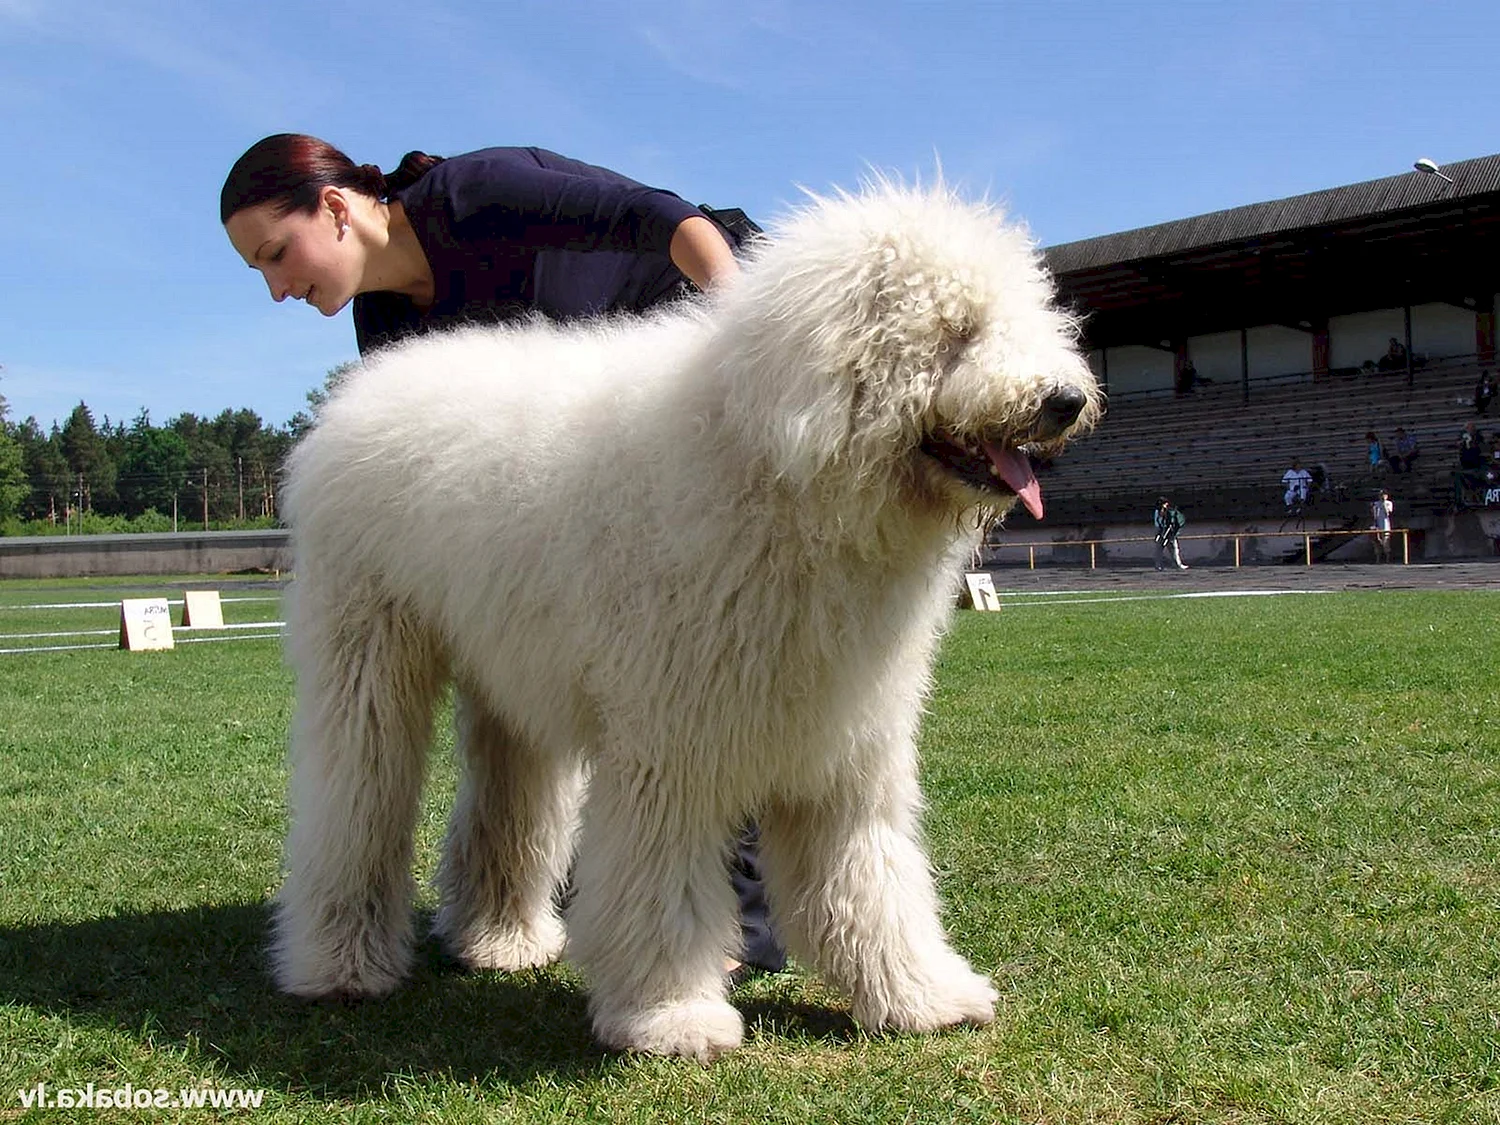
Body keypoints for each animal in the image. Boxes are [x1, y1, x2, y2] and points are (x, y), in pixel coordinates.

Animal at [273, 180, 1104, 1062]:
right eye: (956, 329)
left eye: (1024, 315)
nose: (1066, 400)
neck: (777, 475)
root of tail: (358, 392)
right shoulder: (669, 741)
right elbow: (660, 878)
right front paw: (673, 1015)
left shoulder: (845, 738)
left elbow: (869, 875)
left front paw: (921, 993)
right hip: (367, 652)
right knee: (354, 802)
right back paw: (340, 964)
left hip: (511, 680)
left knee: (507, 805)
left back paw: (501, 940)